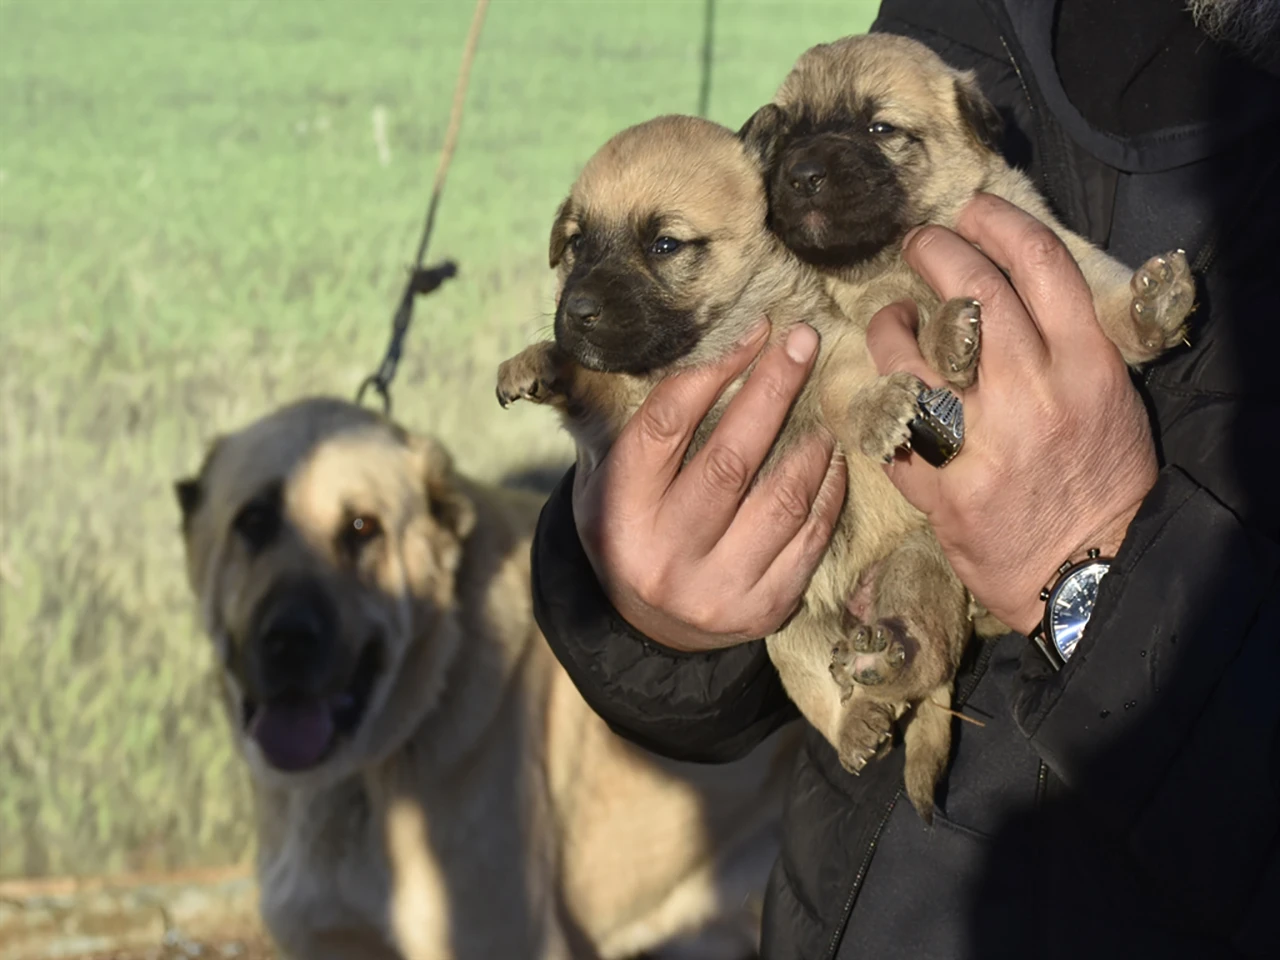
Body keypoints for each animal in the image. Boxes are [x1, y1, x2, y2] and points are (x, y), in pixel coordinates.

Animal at [742, 33, 1198, 386]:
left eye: (881, 128)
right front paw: (944, 333)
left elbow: (1099, 287)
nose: (802, 175)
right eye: (784, 136)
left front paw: (1149, 307)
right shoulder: (864, 316)